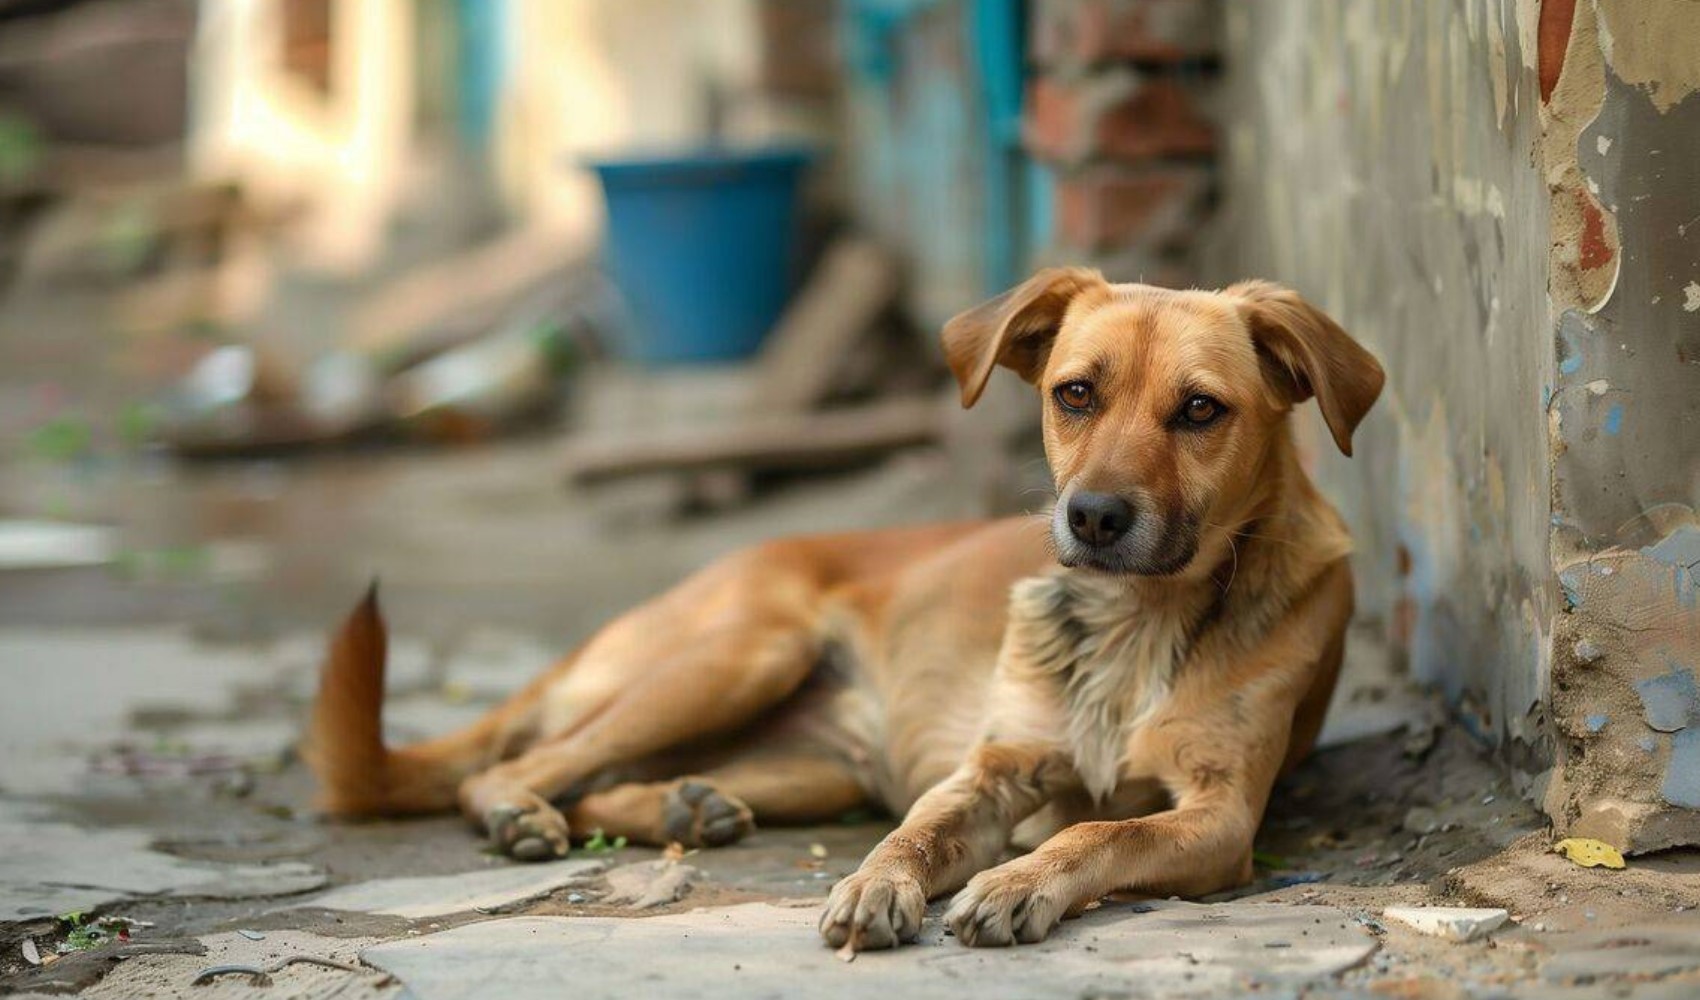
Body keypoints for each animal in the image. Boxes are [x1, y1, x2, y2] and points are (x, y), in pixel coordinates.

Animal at [306, 268, 1380, 952]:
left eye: (1201, 411)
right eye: (1075, 394)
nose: (1095, 517)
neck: (1136, 620)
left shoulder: (1221, 817)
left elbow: (1098, 833)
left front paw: (1018, 879)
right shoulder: (990, 768)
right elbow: (916, 830)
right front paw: (875, 881)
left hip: (807, 764)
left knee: (599, 779)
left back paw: (684, 805)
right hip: (743, 654)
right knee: (522, 766)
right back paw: (526, 810)